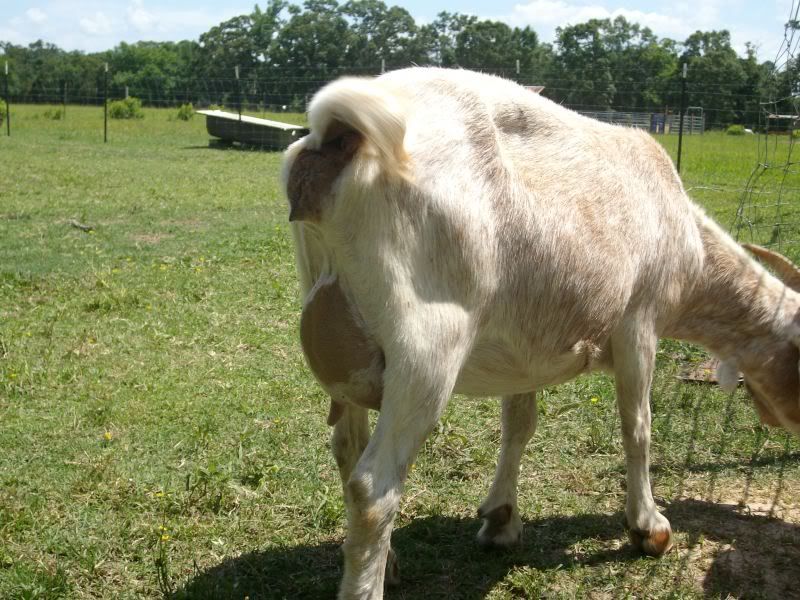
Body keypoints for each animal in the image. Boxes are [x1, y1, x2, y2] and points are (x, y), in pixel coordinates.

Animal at [281, 67, 800, 599]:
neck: (688, 244)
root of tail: (341, 131)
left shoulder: (524, 345)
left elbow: (519, 424)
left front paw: (501, 519)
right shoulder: (640, 323)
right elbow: (638, 426)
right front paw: (648, 527)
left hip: (347, 337)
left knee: (346, 448)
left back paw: (390, 561)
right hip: (426, 345)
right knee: (373, 487)